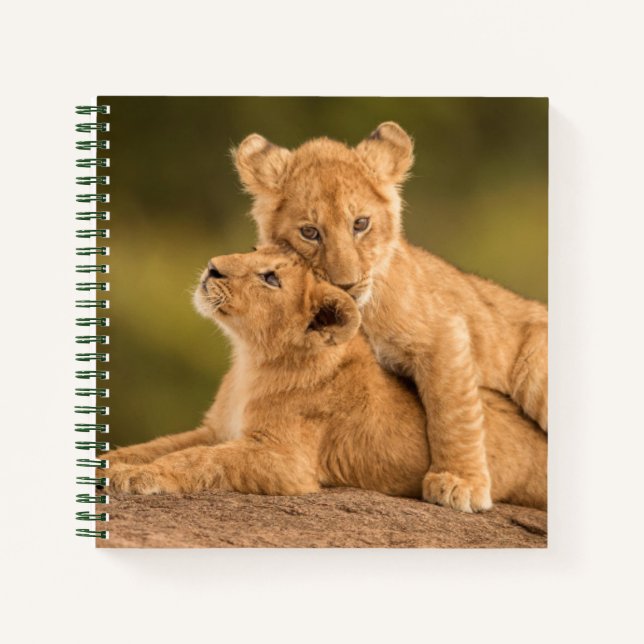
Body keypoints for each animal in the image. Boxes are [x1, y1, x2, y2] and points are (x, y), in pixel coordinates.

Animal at [106, 247, 546, 511]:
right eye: (253, 249)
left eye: (270, 278)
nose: (213, 266)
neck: (251, 360)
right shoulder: (215, 429)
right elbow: (160, 445)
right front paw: (112, 463)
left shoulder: (286, 461)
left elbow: (198, 458)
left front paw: (139, 476)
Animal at [231, 122, 548, 512]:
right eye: (309, 232)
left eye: (360, 224)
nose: (346, 283)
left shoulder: (443, 332)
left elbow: (452, 411)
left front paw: (460, 482)